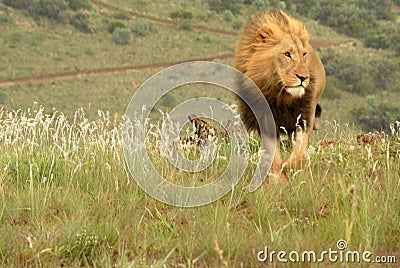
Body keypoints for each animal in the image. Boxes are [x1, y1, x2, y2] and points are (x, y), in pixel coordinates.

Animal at [234, 8, 324, 181]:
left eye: (304, 54)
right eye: (287, 54)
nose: (303, 77)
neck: (280, 95)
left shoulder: (304, 118)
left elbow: (299, 153)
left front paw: (289, 168)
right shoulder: (265, 121)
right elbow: (273, 156)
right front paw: (277, 178)